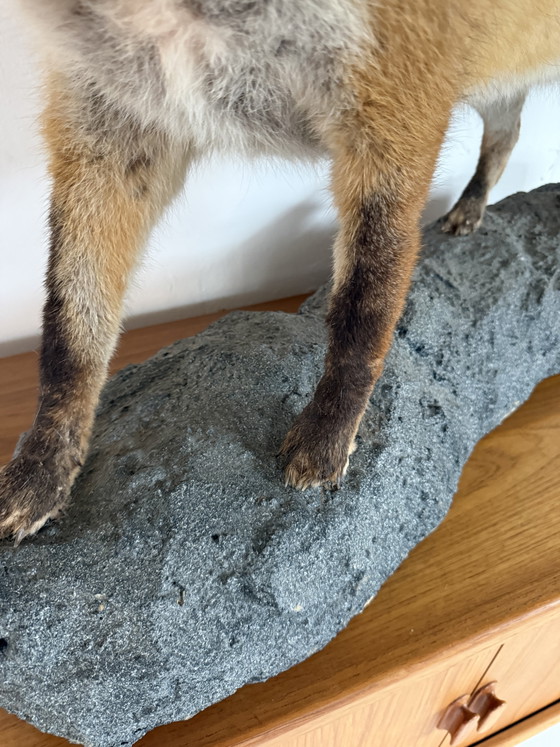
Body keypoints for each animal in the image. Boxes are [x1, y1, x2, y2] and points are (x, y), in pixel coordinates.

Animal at [1, 0, 559, 541]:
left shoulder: (398, 112)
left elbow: (363, 314)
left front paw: (328, 439)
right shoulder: (109, 114)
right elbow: (69, 332)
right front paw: (42, 470)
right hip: (496, 84)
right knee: (508, 131)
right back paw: (471, 206)